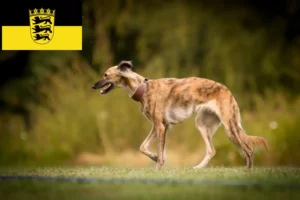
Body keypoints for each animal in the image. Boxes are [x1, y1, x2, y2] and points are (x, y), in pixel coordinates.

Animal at [91, 60, 268, 169]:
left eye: (106, 75)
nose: (93, 86)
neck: (144, 88)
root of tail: (228, 90)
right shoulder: (158, 126)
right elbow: (143, 147)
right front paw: (154, 157)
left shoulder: (161, 127)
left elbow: (159, 155)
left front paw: (158, 166)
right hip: (202, 124)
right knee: (211, 150)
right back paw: (198, 168)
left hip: (230, 127)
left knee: (249, 150)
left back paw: (247, 172)